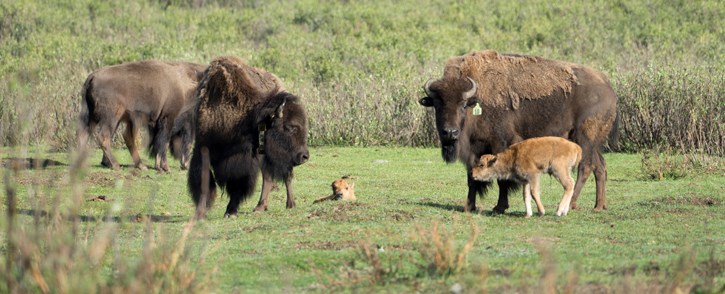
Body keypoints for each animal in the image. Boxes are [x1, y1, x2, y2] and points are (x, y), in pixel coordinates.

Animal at [77, 60, 206, 171]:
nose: (186, 165)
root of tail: (92, 76)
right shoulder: (168, 118)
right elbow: (163, 142)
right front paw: (164, 167)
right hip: (111, 118)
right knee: (104, 137)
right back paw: (116, 165)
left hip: (94, 117)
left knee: (84, 135)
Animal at [187, 56, 308, 219]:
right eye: (290, 127)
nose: (304, 156)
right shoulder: (202, 148)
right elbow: (204, 180)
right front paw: (200, 213)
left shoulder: (244, 159)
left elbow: (238, 183)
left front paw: (231, 211)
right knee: (269, 176)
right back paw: (262, 206)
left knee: (283, 175)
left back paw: (288, 204)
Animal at [418, 49, 616, 212]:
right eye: (437, 104)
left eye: (463, 104)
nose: (450, 132)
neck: (478, 100)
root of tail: (608, 87)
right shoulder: (473, 150)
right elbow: (471, 178)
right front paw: (469, 206)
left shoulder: (500, 143)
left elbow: (501, 178)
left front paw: (499, 207)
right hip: (591, 142)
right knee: (600, 167)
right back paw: (599, 206)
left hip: (585, 139)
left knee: (586, 167)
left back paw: (572, 204)